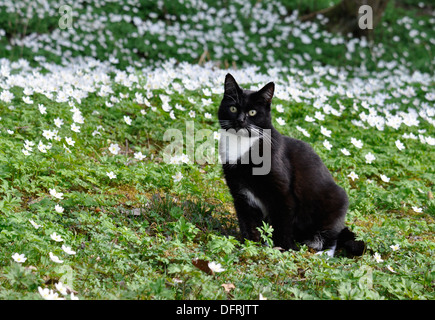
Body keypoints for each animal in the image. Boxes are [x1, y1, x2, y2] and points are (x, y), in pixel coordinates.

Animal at [217, 74, 364, 256]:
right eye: (233, 109)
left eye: (252, 112)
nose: (240, 120)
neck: (242, 145)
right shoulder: (240, 194)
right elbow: (248, 223)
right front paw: (249, 246)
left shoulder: (283, 193)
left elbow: (282, 223)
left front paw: (284, 249)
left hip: (335, 202)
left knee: (331, 237)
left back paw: (323, 253)